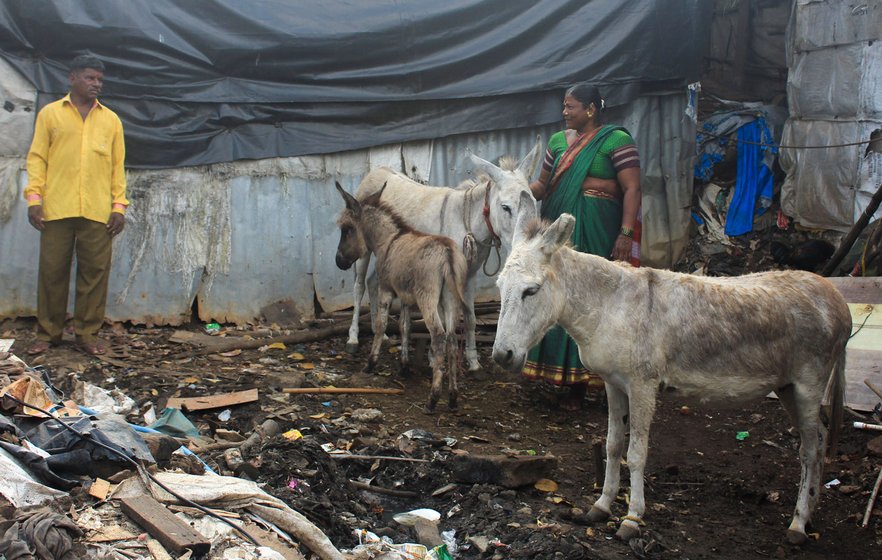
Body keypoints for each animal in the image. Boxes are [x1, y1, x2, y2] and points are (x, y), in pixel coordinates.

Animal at [334, 183, 468, 412]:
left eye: (347, 229)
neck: (388, 240)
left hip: (427, 298)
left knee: (438, 335)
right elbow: (405, 327)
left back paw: (433, 398)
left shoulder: (386, 289)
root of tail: (447, 252)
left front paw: (370, 363)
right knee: (451, 339)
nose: (338, 262)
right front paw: (404, 367)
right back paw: (452, 397)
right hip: (450, 300)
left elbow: (382, 325)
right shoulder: (406, 297)